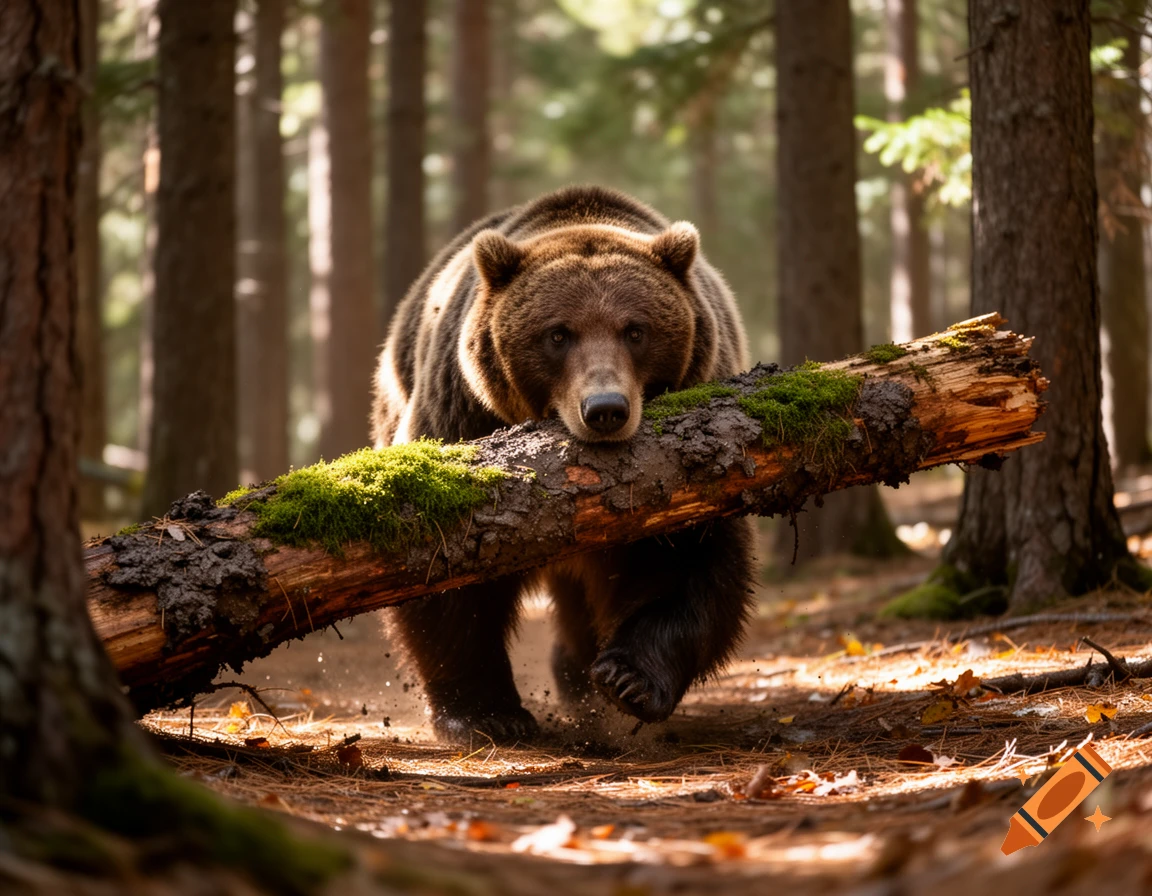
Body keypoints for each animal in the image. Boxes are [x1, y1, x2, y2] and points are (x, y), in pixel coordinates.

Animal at [372, 185, 756, 743]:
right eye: (557, 334)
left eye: (635, 330)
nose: (605, 409)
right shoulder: (461, 415)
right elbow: (444, 576)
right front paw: (487, 713)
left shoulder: (693, 468)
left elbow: (691, 557)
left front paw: (628, 679)